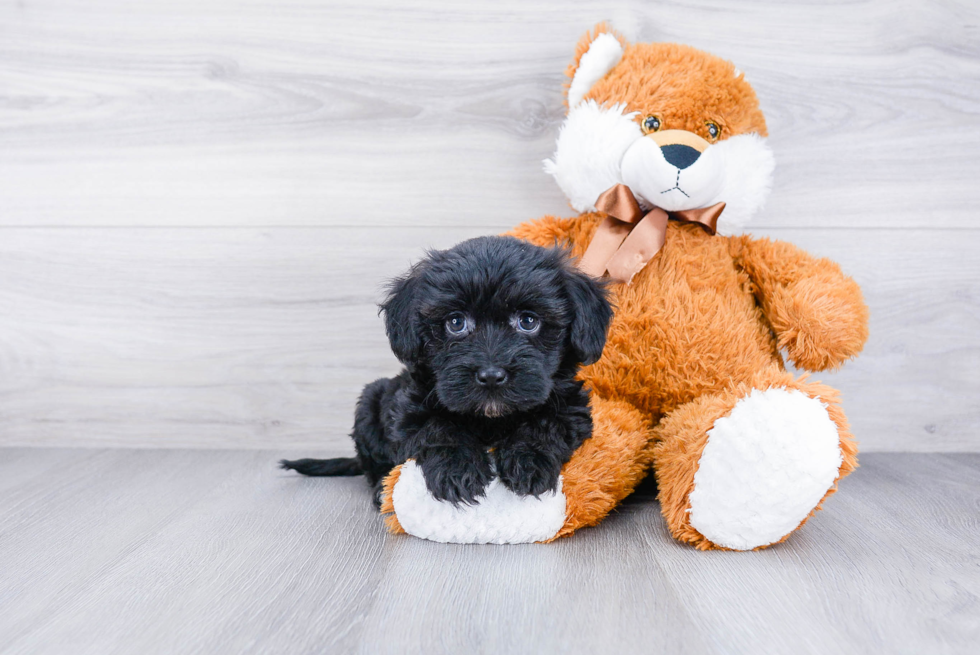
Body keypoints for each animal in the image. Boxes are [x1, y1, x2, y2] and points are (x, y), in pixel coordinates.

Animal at [280, 236, 608, 508]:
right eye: (456, 323)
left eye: (528, 321)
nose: (491, 376)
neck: (491, 419)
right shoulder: (411, 410)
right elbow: (438, 429)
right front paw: (458, 471)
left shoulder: (571, 407)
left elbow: (545, 424)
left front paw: (528, 462)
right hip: (370, 403)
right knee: (373, 465)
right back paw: (381, 490)